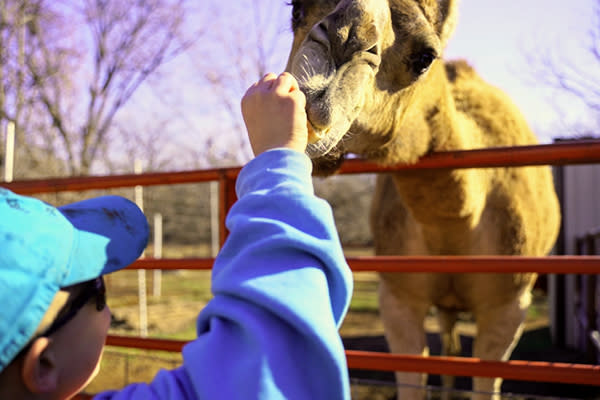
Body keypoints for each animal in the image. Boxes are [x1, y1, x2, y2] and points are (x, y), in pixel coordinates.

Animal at [284, 0, 560, 400]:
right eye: (295, 11)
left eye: (425, 57)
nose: (343, 38)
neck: (456, 226)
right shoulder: (398, 299)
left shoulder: (508, 306)